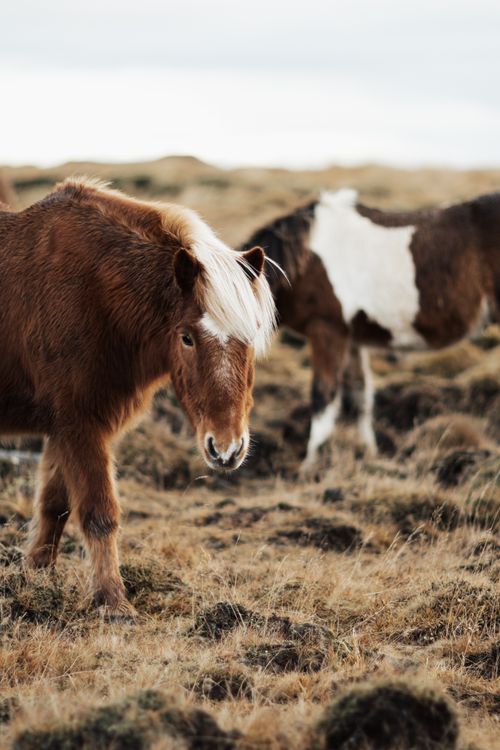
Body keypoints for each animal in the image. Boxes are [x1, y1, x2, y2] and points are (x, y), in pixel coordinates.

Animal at [0, 177, 276, 617]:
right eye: (186, 337)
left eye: (250, 337)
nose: (227, 449)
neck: (94, 293)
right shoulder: (80, 423)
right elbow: (99, 512)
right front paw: (112, 602)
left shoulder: (63, 425)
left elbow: (54, 506)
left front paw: (36, 578)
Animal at [240, 188, 500, 470]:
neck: (305, 259)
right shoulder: (352, 338)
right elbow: (359, 395)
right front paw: (369, 453)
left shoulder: (326, 330)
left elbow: (323, 394)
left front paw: (311, 463)